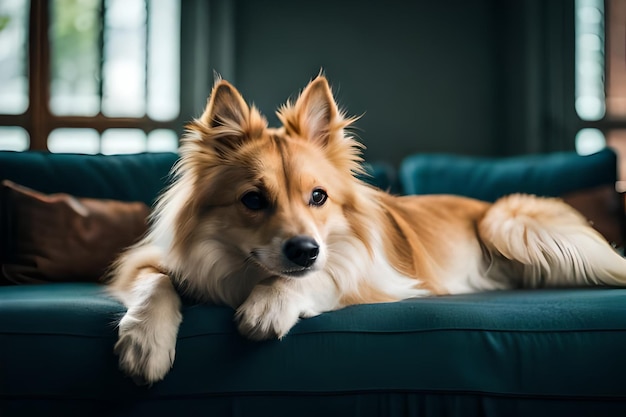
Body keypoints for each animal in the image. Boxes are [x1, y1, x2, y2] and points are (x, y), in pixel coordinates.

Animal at [107, 75, 624, 384]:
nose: (305, 250)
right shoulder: (145, 261)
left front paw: (269, 305)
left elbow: (319, 277)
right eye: (253, 200)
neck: (247, 273)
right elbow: (155, 284)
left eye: (319, 197)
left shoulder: (369, 274)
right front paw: (145, 343)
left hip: (509, 224)